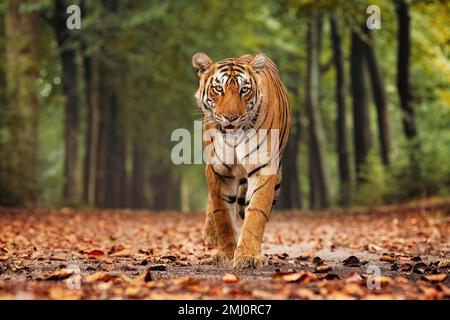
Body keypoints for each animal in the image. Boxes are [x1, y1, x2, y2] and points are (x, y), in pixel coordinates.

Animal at [191, 52, 290, 268]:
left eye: (244, 90)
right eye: (218, 89)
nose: (231, 117)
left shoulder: (264, 168)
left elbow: (256, 213)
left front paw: (248, 255)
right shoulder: (217, 169)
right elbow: (223, 215)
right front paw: (226, 253)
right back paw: (210, 236)